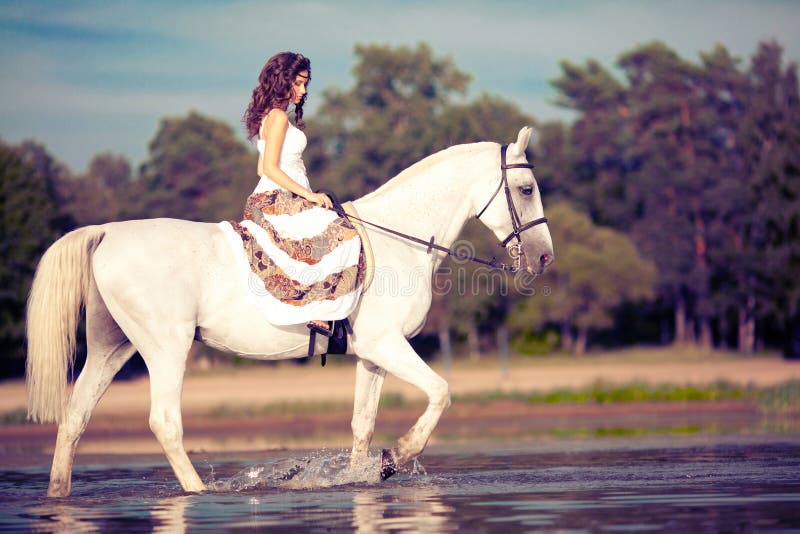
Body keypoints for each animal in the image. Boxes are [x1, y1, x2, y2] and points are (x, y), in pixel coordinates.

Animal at [25, 129, 552, 498]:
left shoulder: (373, 355)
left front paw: (362, 477)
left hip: (113, 347)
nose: (545, 258)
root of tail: (108, 232)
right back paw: (199, 492)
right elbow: (441, 392)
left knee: (74, 419)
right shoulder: (387, 344)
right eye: (526, 188)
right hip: (165, 348)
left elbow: (362, 425)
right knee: (164, 423)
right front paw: (396, 457)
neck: (400, 239)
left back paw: (58, 496)